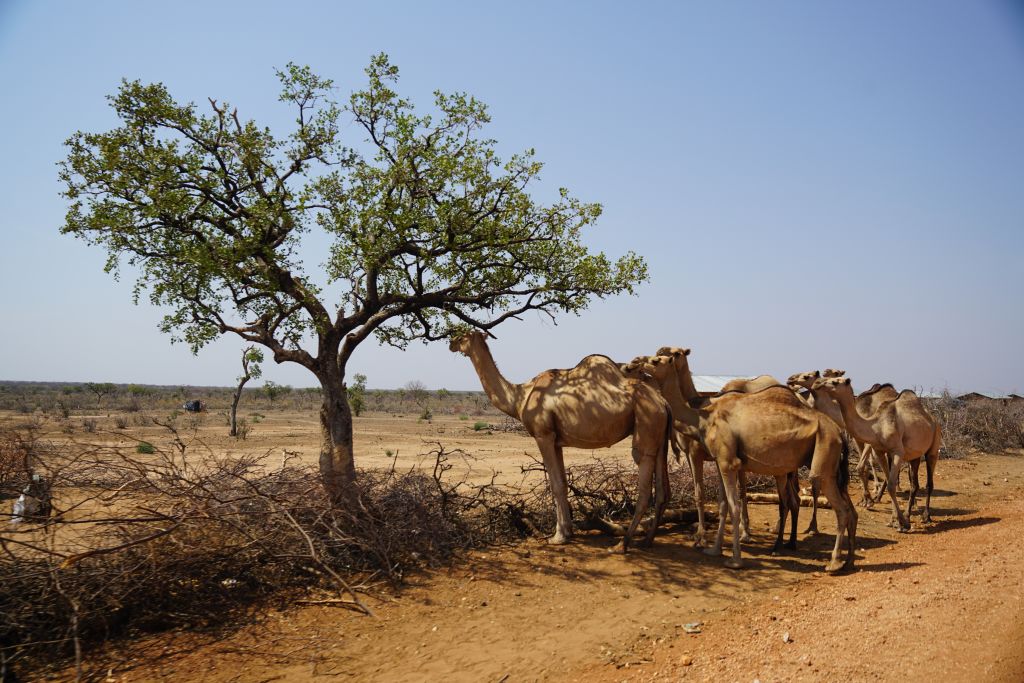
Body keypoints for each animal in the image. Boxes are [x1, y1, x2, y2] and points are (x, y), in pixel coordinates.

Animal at [448, 331, 671, 548]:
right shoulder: (557, 441)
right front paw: (567, 532)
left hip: (646, 422)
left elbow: (555, 485)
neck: (521, 396)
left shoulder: (543, 435)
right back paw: (647, 540)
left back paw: (623, 544)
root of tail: (663, 402)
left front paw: (558, 536)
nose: (451, 343)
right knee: (662, 489)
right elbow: (563, 484)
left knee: (644, 478)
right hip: (660, 435)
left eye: (462, 335)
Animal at [630, 352, 856, 573]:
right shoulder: (721, 460)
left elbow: (734, 506)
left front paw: (735, 560)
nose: (635, 362)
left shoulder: (727, 461)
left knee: (840, 508)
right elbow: (723, 505)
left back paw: (833, 563)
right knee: (842, 507)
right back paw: (846, 560)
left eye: (656, 359)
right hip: (829, 466)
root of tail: (839, 433)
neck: (703, 416)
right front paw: (714, 550)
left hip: (823, 455)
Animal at [806, 376, 942, 532]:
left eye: (835, 381)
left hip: (934, 446)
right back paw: (908, 515)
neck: (876, 426)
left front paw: (901, 524)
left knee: (929, 481)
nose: (817, 383)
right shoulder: (880, 451)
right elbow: (889, 482)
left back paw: (926, 516)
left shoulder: (897, 451)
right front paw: (895, 521)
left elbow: (891, 485)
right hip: (915, 455)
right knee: (914, 484)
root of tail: (933, 419)